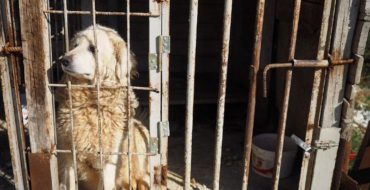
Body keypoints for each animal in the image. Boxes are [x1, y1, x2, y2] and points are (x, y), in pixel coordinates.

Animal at [57, 24, 150, 189]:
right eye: (75, 46)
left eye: (92, 48)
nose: (64, 60)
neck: (92, 103)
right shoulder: (68, 157)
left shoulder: (109, 162)